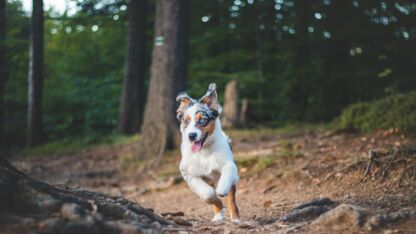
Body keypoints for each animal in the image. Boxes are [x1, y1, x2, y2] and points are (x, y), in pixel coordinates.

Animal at [176, 83, 240, 222]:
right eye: (186, 122)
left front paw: (221, 190)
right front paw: (217, 202)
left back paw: (235, 218)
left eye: (202, 120)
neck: (204, 152)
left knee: (231, 198)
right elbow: (207, 193)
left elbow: (226, 175)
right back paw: (218, 217)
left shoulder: (229, 163)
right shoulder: (188, 174)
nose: (191, 136)